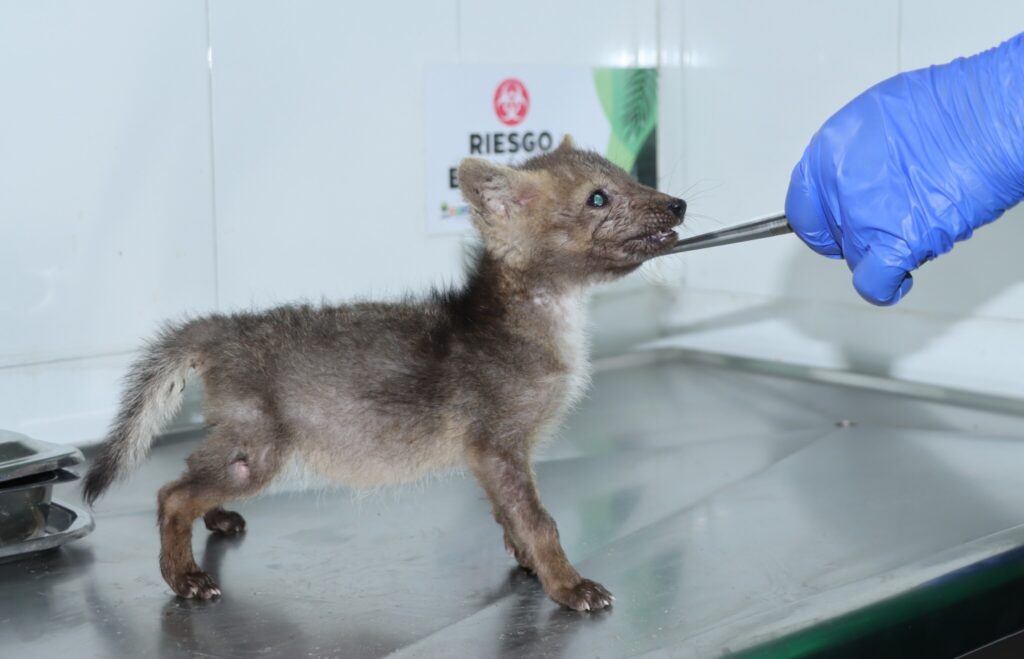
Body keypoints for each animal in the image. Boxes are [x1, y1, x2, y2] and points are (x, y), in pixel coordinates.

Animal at [82, 135, 686, 611]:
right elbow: (540, 522)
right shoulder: (498, 445)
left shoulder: (493, 458)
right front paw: (569, 586)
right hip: (258, 456)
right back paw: (184, 577)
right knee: (170, 494)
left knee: (189, 474)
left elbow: (510, 517)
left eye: (630, 175)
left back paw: (218, 520)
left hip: (238, 445)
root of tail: (222, 327)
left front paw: (530, 566)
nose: (678, 204)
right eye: (598, 198)